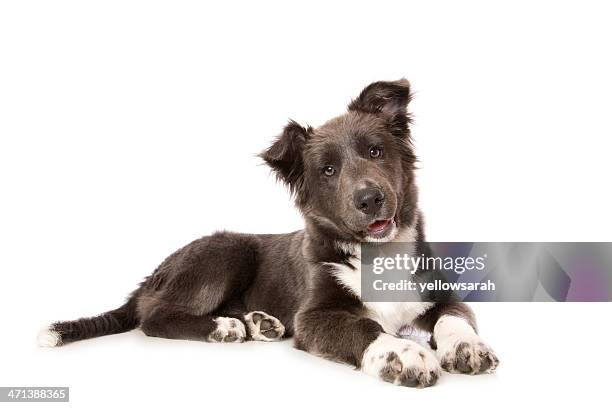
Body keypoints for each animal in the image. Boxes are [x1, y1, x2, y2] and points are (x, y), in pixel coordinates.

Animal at [39, 79, 498, 388]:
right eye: (327, 171)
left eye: (375, 151)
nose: (369, 199)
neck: (377, 254)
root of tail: (154, 274)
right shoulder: (314, 316)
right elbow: (366, 329)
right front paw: (403, 354)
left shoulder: (440, 295)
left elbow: (456, 318)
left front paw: (466, 347)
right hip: (225, 251)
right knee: (153, 316)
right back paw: (225, 327)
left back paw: (259, 322)